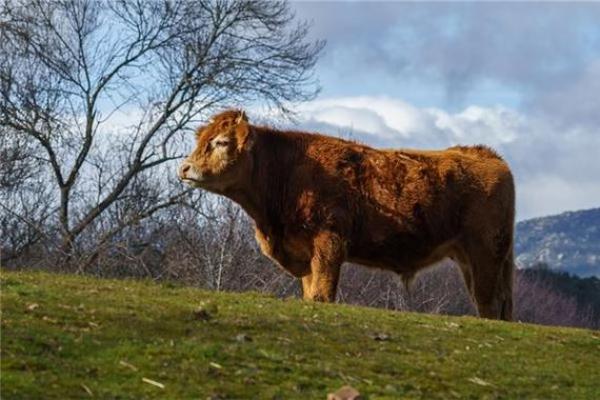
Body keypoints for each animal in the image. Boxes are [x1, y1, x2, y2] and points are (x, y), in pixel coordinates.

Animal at [179, 108, 516, 320]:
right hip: (469, 258)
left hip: (486, 253)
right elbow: (310, 293)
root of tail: (486, 155)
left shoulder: (329, 244)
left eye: (221, 142)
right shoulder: (306, 254)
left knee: (489, 302)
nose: (184, 168)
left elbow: (323, 293)